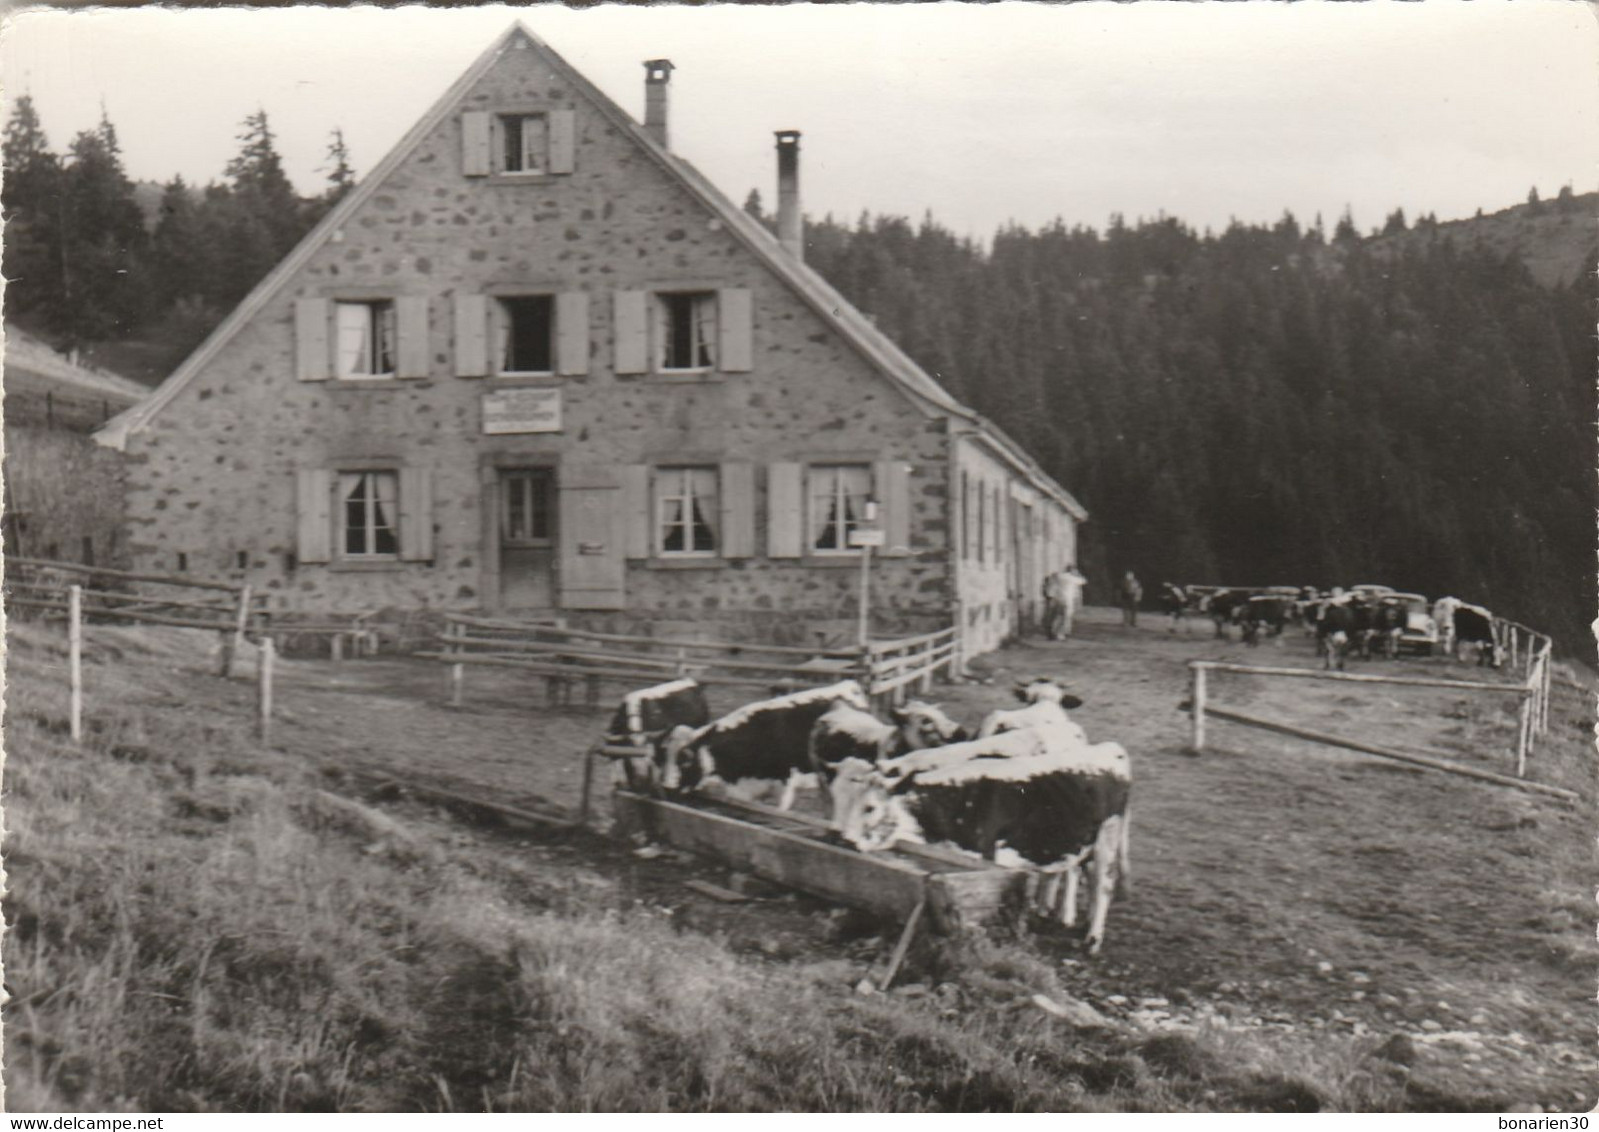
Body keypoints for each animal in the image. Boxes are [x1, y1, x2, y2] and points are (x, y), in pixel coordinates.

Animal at [831, 738, 1132, 952]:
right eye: (835, 796)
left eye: (870, 807)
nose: (843, 838)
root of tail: (1111, 748)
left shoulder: (985, 858)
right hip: (1079, 842)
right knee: (1078, 873)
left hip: (1107, 838)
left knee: (1102, 887)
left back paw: (1092, 939)